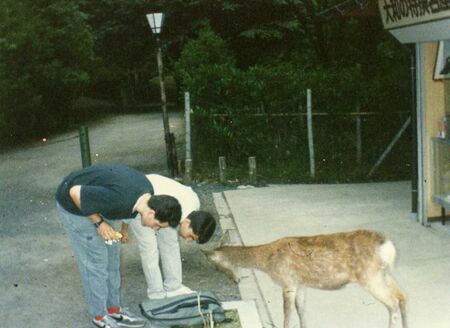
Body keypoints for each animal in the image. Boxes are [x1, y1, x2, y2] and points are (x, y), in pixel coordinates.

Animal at [204, 229, 408, 328]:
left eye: (217, 267)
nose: (235, 281)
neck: (267, 262)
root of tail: (387, 246)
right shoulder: (301, 284)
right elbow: (301, 310)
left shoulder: (288, 282)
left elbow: (287, 312)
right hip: (384, 273)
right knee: (402, 296)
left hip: (369, 275)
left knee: (392, 303)